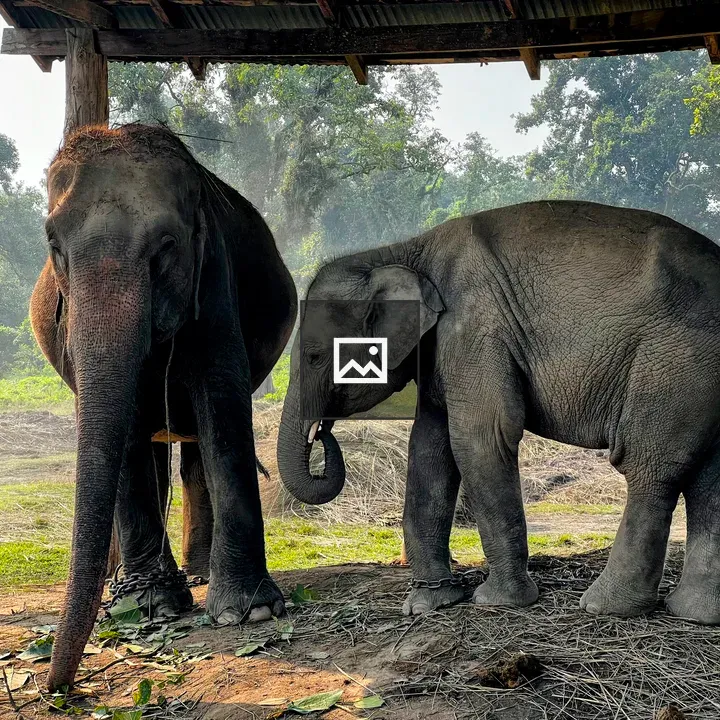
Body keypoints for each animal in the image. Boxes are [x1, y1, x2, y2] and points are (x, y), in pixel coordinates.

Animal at [30, 124, 297, 690]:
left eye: (167, 247)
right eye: (53, 246)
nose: (56, 688)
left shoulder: (213, 276)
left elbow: (221, 398)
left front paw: (251, 612)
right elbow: (127, 428)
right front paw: (149, 607)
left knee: (195, 449)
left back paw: (200, 573)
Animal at [278, 200, 720, 625]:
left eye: (314, 356)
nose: (323, 432)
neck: (401, 251)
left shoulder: (475, 329)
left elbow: (479, 437)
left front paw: (498, 602)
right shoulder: (443, 349)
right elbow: (429, 447)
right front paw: (429, 604)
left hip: (672, 363)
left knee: (648, 468)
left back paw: (604, 608)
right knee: (708, 478)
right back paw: (694, 614)